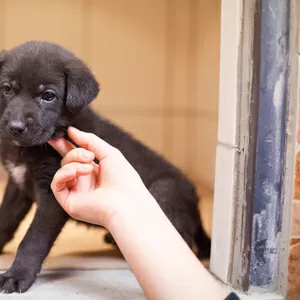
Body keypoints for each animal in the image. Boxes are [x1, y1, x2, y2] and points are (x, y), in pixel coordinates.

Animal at [0, 41, 210, 294]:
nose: (15, 127)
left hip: (165, 191)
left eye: (48, 96)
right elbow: (6, 218)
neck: (28, 150)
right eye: (7, 89)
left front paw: (17, 274)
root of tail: (196, 204)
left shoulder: (53, 194)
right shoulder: (18, 185)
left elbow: (33, 238)